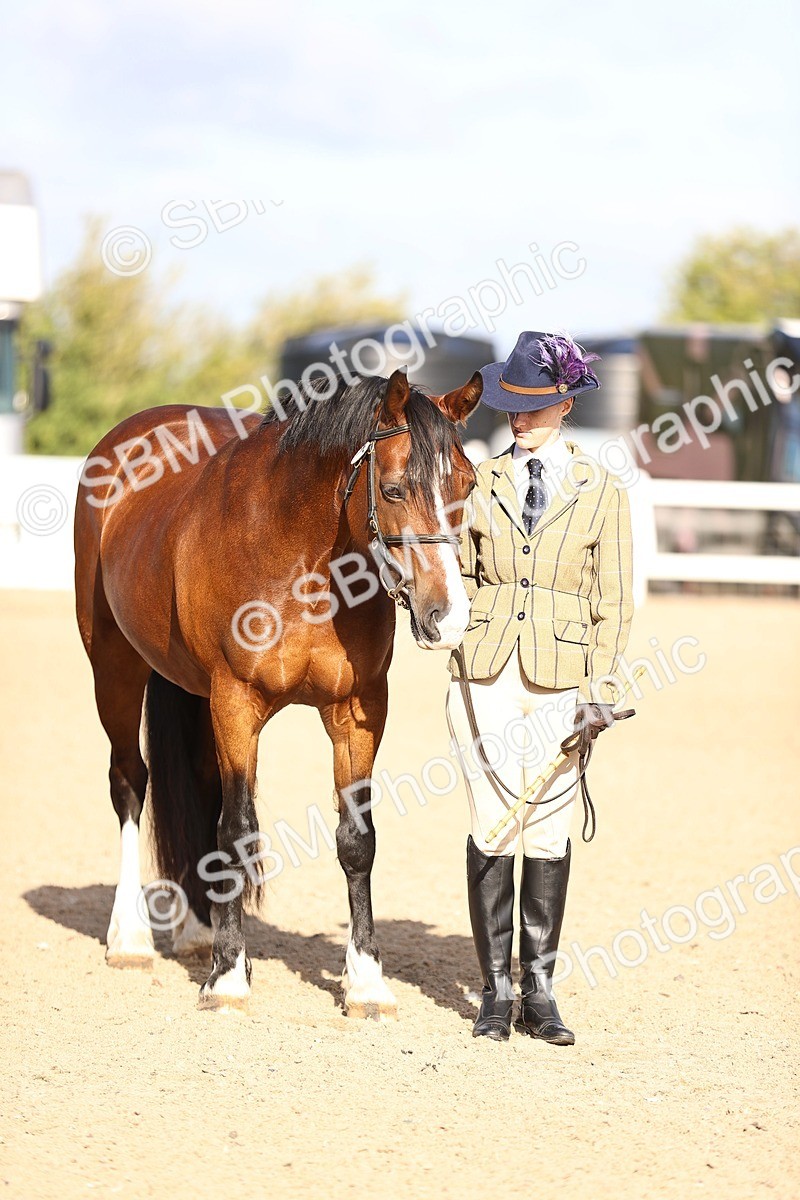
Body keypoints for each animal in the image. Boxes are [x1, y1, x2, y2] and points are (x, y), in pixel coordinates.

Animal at [74, 367, 481, 1017]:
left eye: (467, 483)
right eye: (393, 489)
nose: (448, 617)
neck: (301, 558)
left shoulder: (358, 711)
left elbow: (356, 840)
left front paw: (366, 981)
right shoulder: (235, 702)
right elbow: (237, 831)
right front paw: (229, 978)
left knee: (195, 788)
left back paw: (197, 931)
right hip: (114, 667)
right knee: (130, 784)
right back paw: (131, 937)